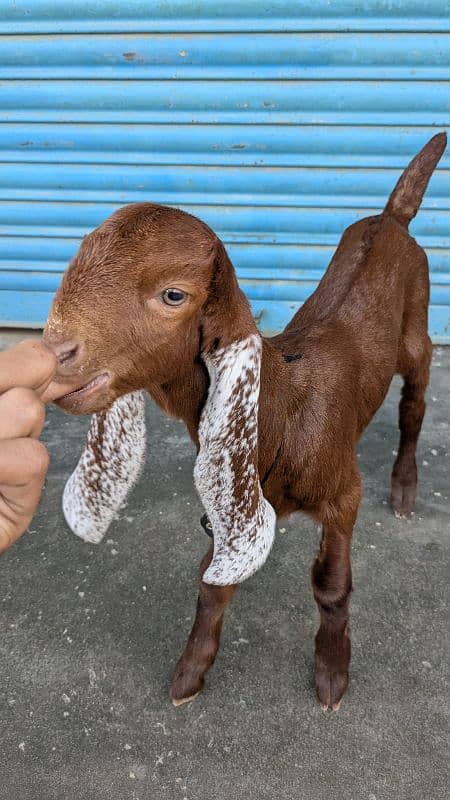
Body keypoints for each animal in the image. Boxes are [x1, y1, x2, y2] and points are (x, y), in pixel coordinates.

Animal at [43, 133, 446, 712]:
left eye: (174, 294)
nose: (55, 353)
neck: (287, 410)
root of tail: (392, 218)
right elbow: (211, 582)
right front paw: (190, 673)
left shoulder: (343, 492)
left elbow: (331, 585)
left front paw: (331, 674)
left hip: (417, 325)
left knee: (414, 404)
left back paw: (405, 488)